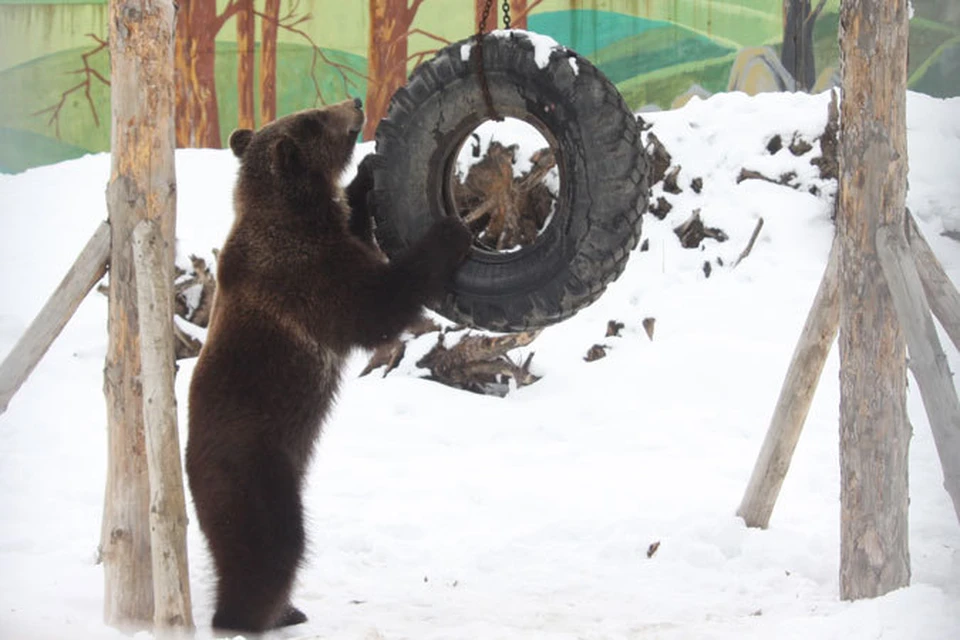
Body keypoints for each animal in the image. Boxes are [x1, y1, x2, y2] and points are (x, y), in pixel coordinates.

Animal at [187, 97, 472, 632]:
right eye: (315, 118)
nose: (355, 103)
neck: (296, 212)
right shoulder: (305, 276)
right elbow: (375, 306)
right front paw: (450, 230)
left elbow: (360, 231)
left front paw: (365, 175)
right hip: (255, 468)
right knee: (272, 545)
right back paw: (246, 617)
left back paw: (285, 611)